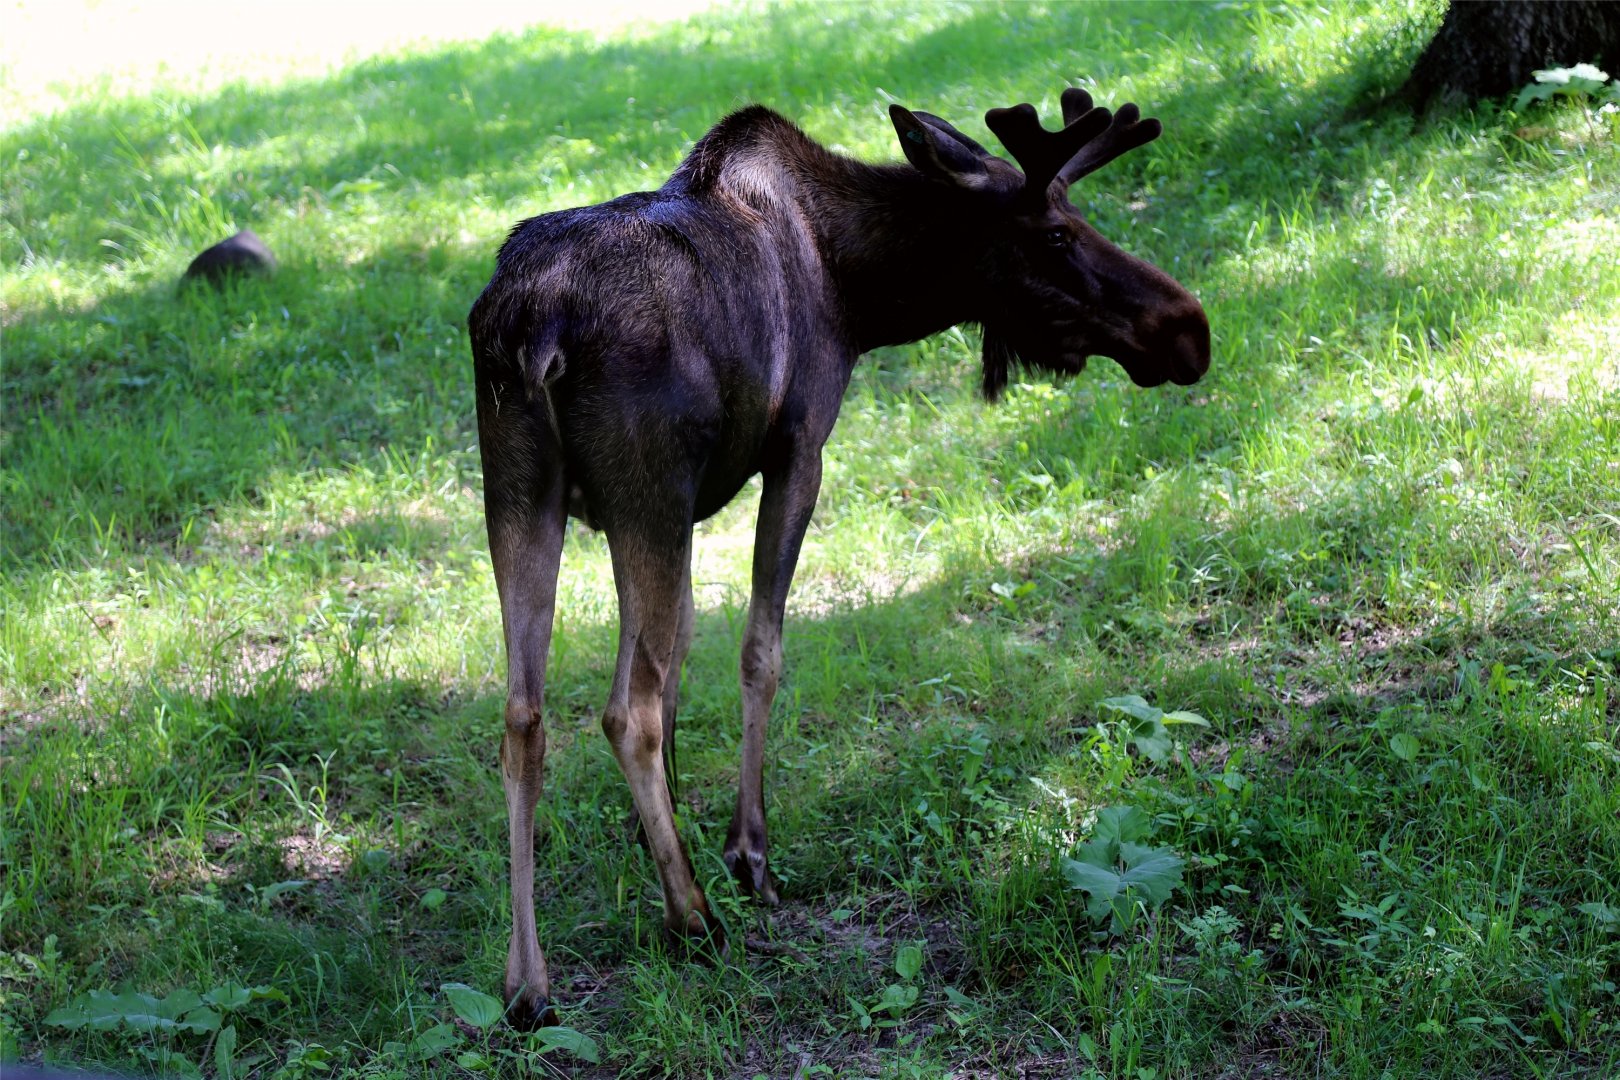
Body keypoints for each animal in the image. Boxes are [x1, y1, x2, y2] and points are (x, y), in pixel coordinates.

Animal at [468, 86, 1209, 1026]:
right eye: (1054, 234)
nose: (1190, 328)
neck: (862, 295)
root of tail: (535, 331)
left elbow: (680, 668)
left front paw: (661, 837)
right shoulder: (798, 446)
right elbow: (756, 653)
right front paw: (744, 852)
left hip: (520, 491)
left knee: (523, 715)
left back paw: (527, 981)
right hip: (646, 488)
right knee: (620, 711)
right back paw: (692, 918)